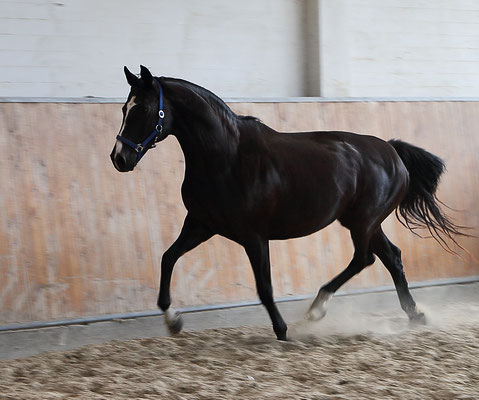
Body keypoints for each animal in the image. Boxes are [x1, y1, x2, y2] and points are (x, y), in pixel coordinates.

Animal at [111, 65, 464, 340]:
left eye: (142, 110)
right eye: (125, 109)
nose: (119, 158)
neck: (226, 157)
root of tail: (392, 151)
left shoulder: (254, 236)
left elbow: (264, 287)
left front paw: (282, 330)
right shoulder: (201, 225)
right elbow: (168, 258)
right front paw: (173, 321)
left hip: (363, 221)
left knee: (365, 259)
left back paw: (317, 309)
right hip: (364, 222)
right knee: (391, 257)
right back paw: (414, 315)